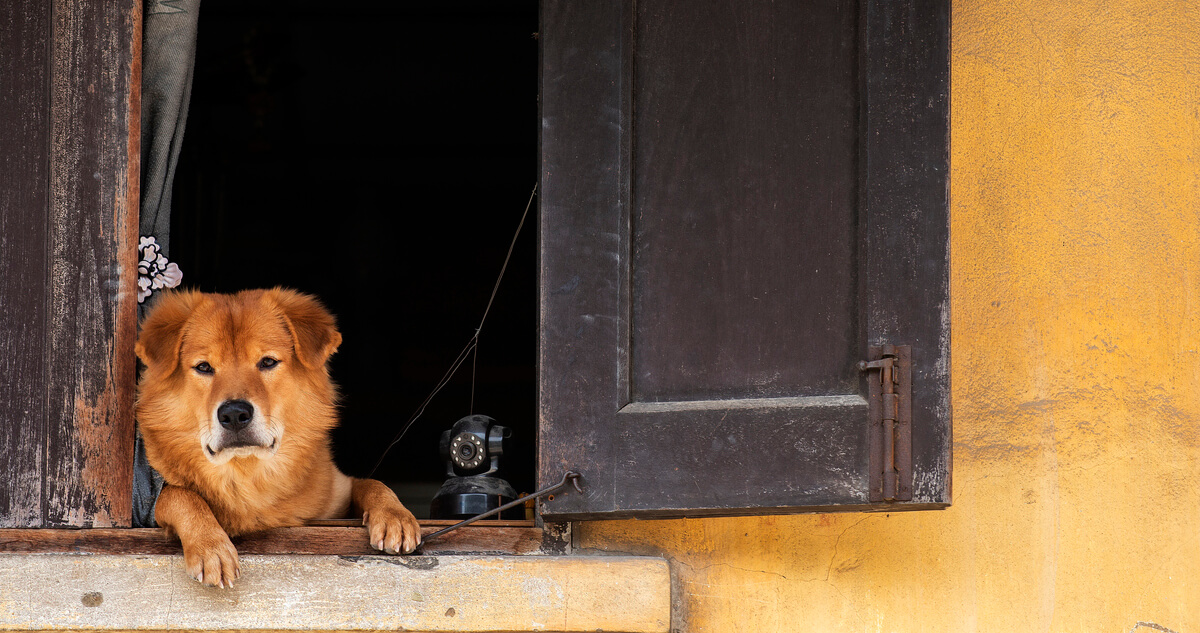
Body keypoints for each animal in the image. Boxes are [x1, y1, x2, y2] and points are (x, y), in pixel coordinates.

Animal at [136, 287, 422, 587]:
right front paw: (210, 546)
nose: (234, 414)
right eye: (203, 367)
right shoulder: (148, 506)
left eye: (268, 362)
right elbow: (180, 495)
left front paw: (394, 515)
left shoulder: (338, 496)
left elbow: (371, 483)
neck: (246, 474)